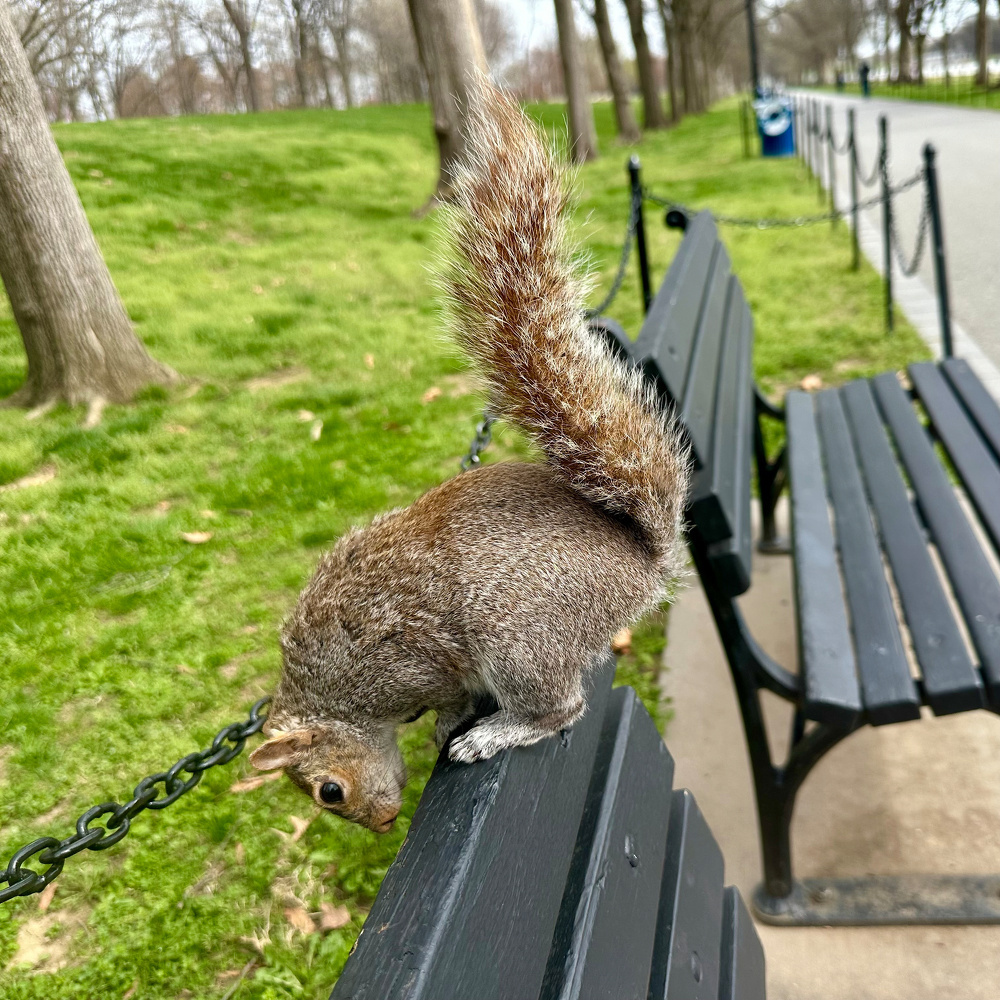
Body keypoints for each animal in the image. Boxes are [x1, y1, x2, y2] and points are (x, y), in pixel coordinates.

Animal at [248, 83, 690, 834]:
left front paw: (442, 726)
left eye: (328, 792)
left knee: (561, 709)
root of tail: (642, 563)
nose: (382, 823)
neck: (337, 692)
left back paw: (496, 733)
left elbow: (449, 695)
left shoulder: (411, 665)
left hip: (517, 637)